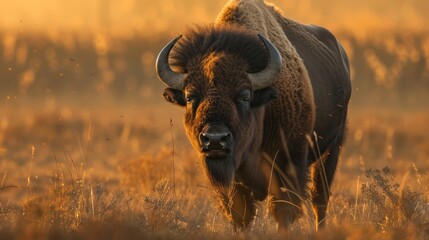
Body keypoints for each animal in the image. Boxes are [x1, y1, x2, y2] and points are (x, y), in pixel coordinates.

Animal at [155, 0, 350, 232]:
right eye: (190, 96)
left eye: (245, 96)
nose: (215, 140)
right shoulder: (234, 181)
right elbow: (241, 216)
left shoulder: (289, 164)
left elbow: (284, 211)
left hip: (331, 149)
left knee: (320, 200)